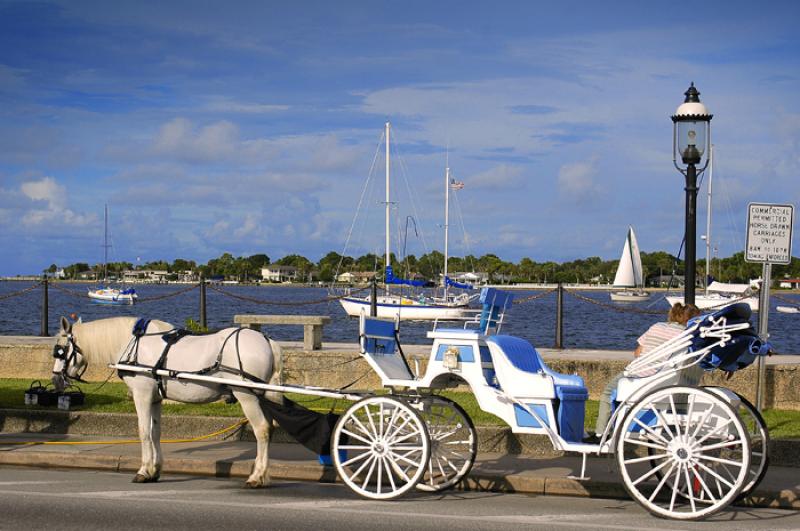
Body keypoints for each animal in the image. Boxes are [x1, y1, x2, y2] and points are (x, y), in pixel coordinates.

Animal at [51, 318, 282, 488]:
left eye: (60, 350)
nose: (56, 379)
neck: (132, 344)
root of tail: (267, 341)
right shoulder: (155, 398)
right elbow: (155, 432)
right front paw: (154, 470)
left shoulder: (142, 394)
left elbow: (144, 431)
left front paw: (143, 470)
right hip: (262, 396)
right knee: (270, 428)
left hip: (247, 396)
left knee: (262, 429)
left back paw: (257, 476)